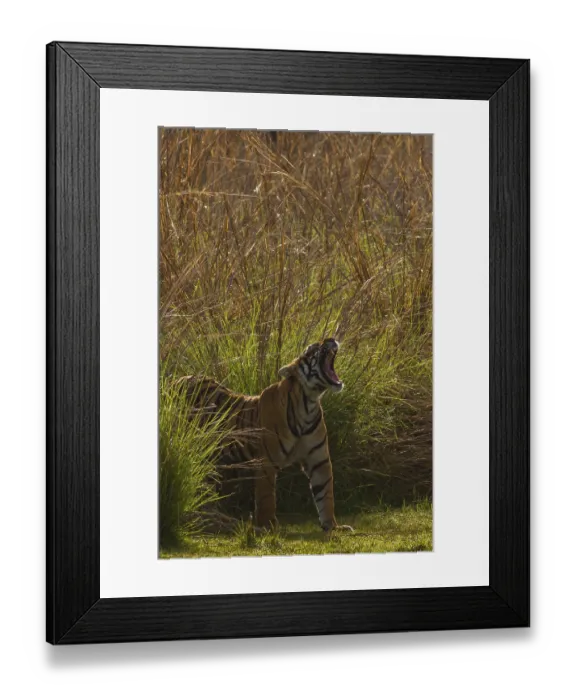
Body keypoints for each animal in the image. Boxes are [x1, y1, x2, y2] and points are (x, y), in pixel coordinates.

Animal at [178, 338, 353, 535]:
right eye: (312, 349)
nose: (330, 339)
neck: (308, 404)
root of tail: (180, 378)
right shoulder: (267, 461)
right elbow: (266, 497)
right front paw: (267, 526)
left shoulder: (319, 461)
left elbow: (326, 495)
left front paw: (333, 526)